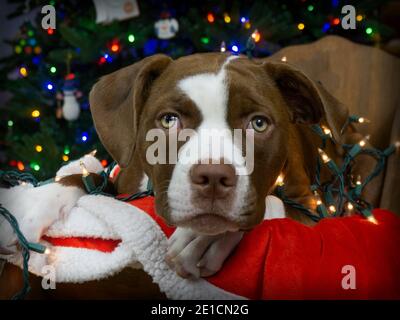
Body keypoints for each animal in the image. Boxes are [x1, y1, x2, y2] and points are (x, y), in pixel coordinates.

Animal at [89, 52, 352, 278]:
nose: (214, 176)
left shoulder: (312, 211)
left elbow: (271, 206)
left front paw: (201, 239)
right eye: (169, 120)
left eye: (259, 123)